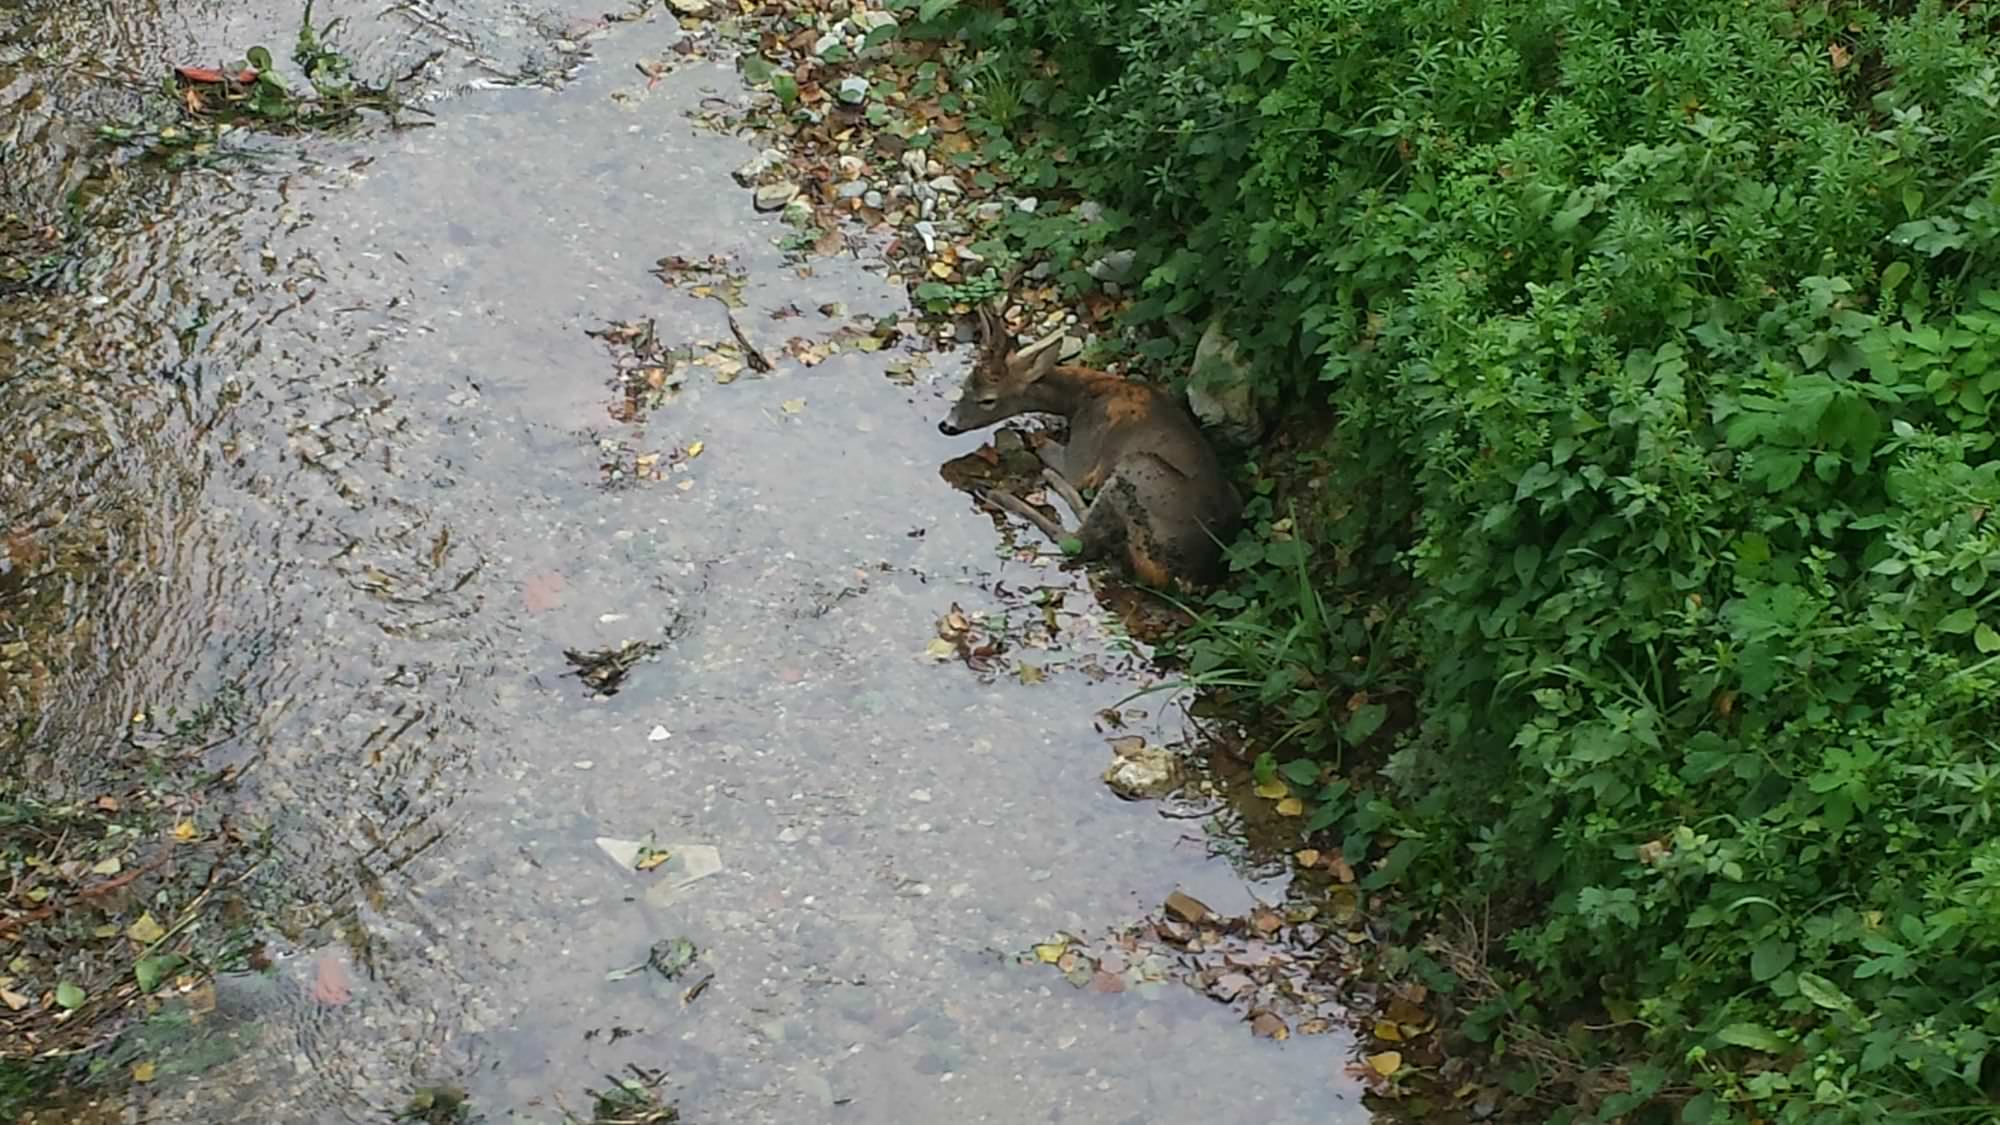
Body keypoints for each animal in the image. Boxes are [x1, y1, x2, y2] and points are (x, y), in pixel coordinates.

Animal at [932, 306, 1232, 588]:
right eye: (965, 386)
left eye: (988, 400)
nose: (946, 425)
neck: (1081, 398)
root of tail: (1191, 578)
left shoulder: (1084, 452)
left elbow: (1051, 451)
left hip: (1139, 470)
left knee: (1077, 540)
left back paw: (1001, 491)